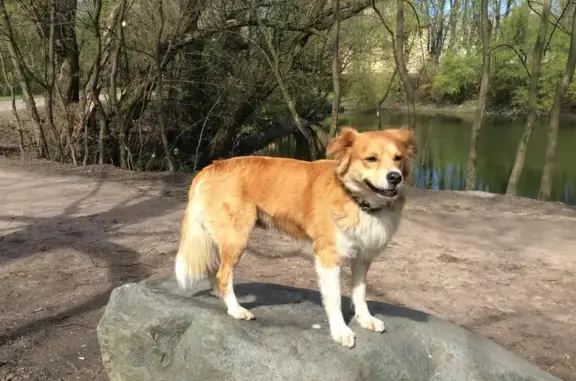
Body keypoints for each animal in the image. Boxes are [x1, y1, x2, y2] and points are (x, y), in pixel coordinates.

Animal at [173, 125, 416, 348]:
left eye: (398, 158)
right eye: (371, 159)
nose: (395, 177)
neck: (355, 199)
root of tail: (211, 166)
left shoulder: (363, 257)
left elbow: (360, 292)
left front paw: (365, 319)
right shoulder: (328, 257)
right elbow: (335, 298)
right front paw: (340, 330)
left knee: (215, 268)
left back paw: (217, 294)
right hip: (237, 237)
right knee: (224, 273)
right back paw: (235, 309)